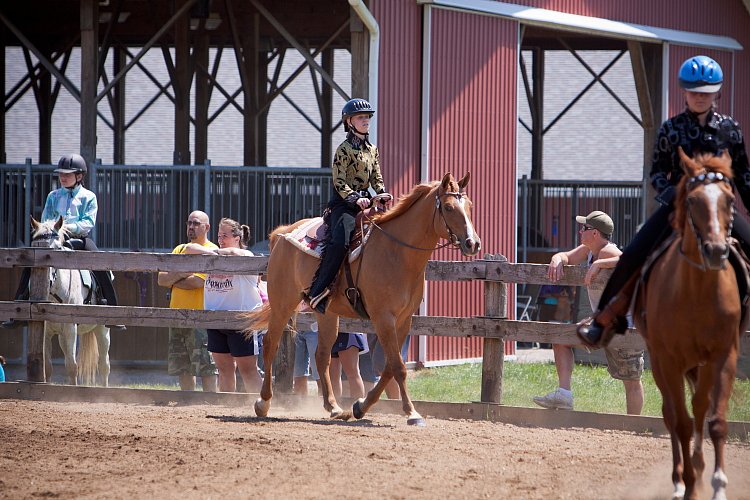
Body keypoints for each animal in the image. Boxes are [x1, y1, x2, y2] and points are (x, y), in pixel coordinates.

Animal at [247, 173, 482, 426]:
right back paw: (263, 402)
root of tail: (282, 233)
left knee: (322, 355)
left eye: (470, 206)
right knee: (270, 344)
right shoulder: (383, 319)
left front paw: (360, 406)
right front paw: (412, 413)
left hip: (327, 314)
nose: (473, 243)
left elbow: (389, 367)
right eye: (448, 207)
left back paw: (334, 407)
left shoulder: (404, 320)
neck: (397, 253)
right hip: (283, 303)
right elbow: (398, 367)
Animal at [636, 149, 748, 500]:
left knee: (698, 407)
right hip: (659, 362)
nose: (716, 250)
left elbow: (715, 420)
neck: (697, 290)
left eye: (729, 199)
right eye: (693, 200)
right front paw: (687, 484)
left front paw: (718, 485)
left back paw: (698, 467)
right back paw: (679, 479)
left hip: (702, 364)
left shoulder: (722, 356)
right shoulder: (669, 360)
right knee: (672, 414)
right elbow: (681, 423)